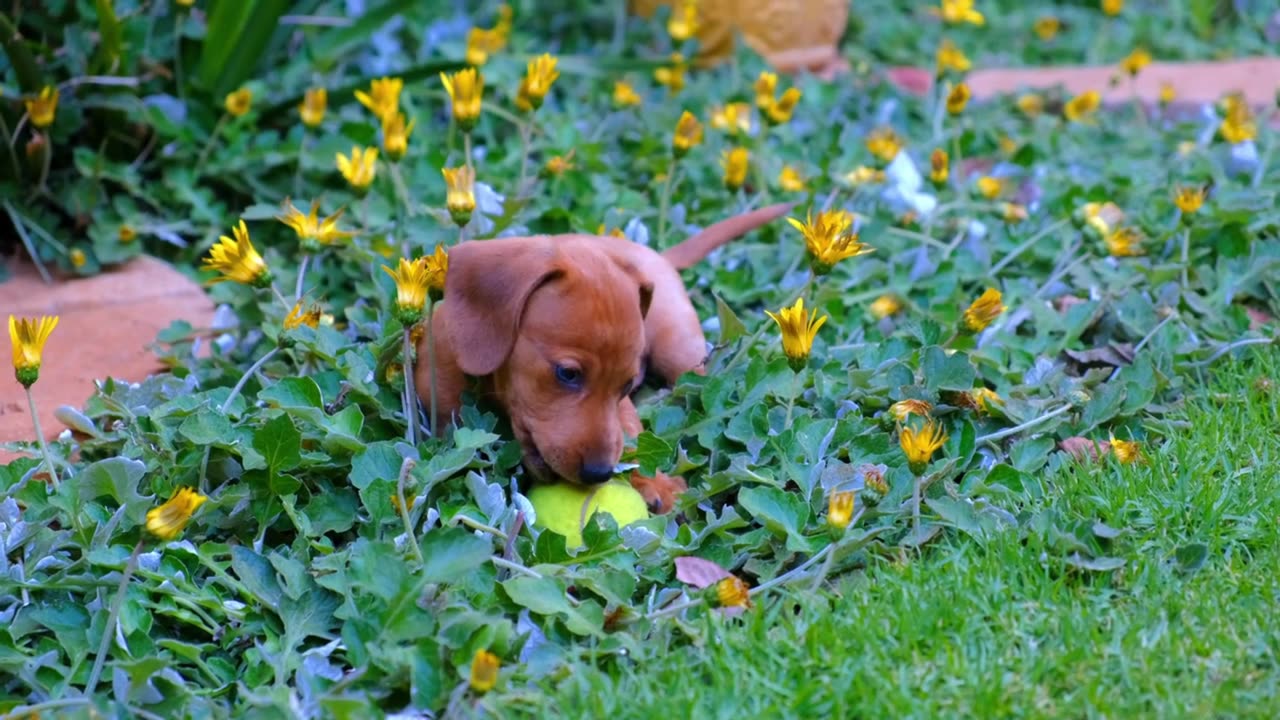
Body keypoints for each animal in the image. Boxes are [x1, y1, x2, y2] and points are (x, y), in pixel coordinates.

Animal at [417, 203, 788, 509]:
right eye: (567, 374)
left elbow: (630, 432)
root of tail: (653, 255)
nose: (600, 473)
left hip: (680, 348)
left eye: (627, 386)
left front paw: (655, 482)